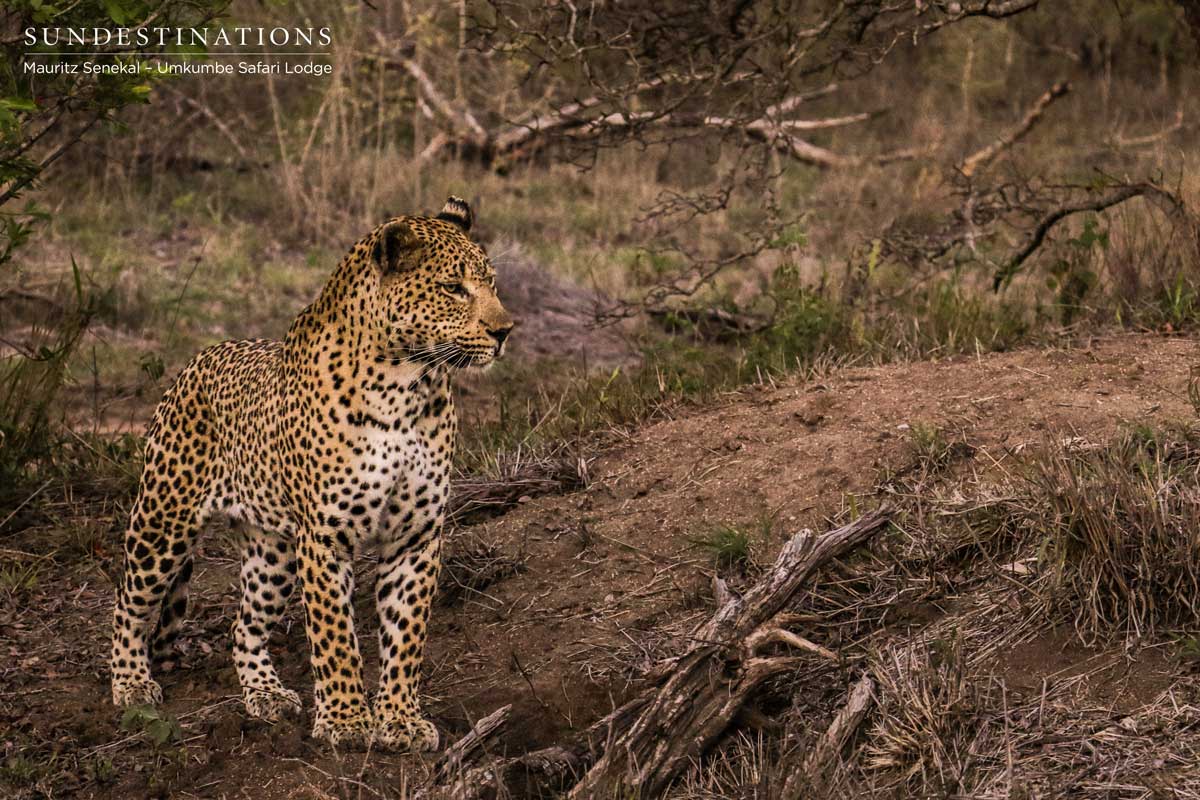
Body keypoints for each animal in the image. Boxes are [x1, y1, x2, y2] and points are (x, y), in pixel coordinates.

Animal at [110, 196, 513, 752]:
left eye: (492, 283)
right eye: (453, 288)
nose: (505, 331)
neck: (407, 386)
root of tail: (200, 357)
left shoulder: (416, 535)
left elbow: (406, 635)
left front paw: (400, 720)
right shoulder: (325, 536)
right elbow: (335, 635)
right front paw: (346, 722)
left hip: (272, 552)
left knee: (243, 628)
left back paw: (266, 694)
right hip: (163, 521)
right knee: (128, 603)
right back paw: (130, 683)